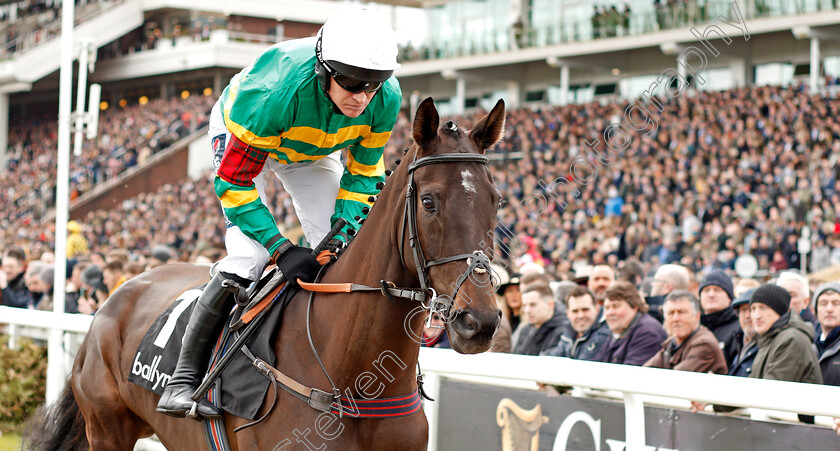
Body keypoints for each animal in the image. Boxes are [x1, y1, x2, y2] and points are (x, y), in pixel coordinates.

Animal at [27, 97, 506, 450]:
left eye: (496, 199)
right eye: (429, 201)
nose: (478, 321)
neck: (352, 378)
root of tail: (119, 293)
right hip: (107, 429)